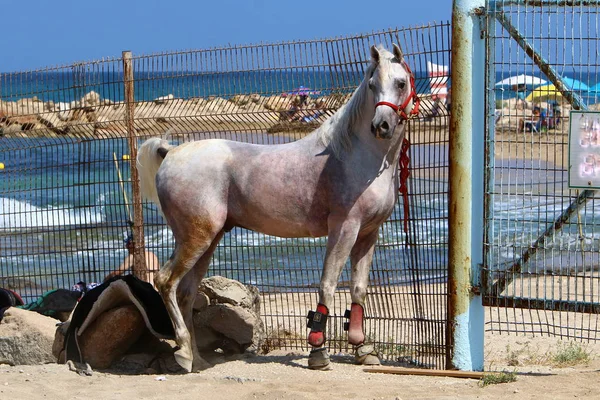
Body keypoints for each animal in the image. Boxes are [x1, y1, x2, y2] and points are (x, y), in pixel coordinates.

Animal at [137, 44, 418, 372]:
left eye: (401, 83)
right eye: (372, 85)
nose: (380, 126)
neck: (354, 156)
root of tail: (170, 152)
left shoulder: (368, 234)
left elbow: (358, 288)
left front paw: (363, 350)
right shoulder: (344, 228)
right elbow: (328, 284)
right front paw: (318, 353)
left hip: (207, 239)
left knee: (186, 292)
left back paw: (196, 359)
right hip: (196, 238)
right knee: (165, 281)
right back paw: (182, 351)